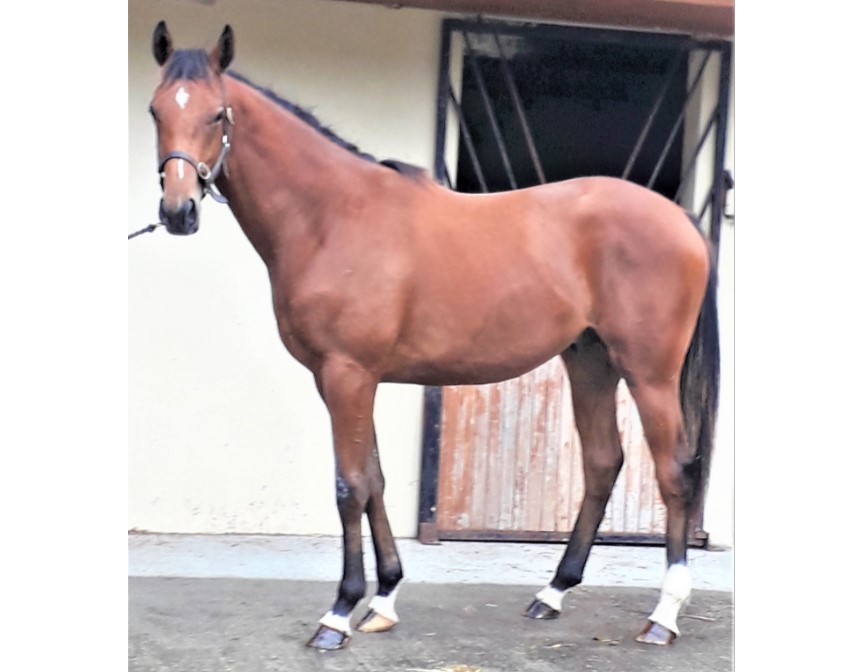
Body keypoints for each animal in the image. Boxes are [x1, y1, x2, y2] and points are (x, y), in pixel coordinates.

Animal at [145, 21, 720, 651]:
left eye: (217, 114)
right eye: (155, 112)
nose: (177, 212)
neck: (331, 217)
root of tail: (679, 219)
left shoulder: (347, 374)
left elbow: (349, 486)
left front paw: (338, 613)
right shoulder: (343, 378)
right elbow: (373, 480)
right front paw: (383, 599)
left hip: (649, 372)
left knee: (674, 472)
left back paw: (664, 614)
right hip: (589, 360)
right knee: (602, 462)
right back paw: (552, 593)